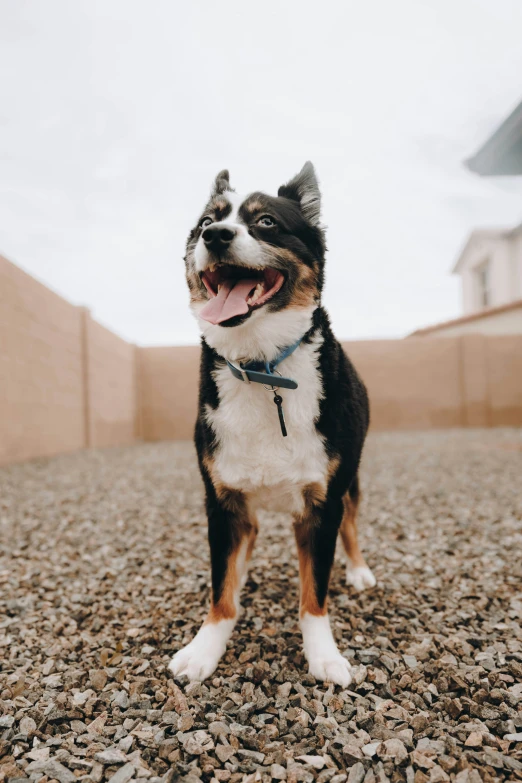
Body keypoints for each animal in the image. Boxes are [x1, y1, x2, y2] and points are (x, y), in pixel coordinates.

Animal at [170, 165, 374, 688]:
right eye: (207, 221)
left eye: (265, 222)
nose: (216, 236)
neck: (262, 368)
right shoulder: (222, 501)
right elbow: (221, 587)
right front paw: (205, 647)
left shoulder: (323, 502)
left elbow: (314, 594)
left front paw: (324, 655)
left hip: (352, 479)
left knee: (353, 523)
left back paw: (358, 570)